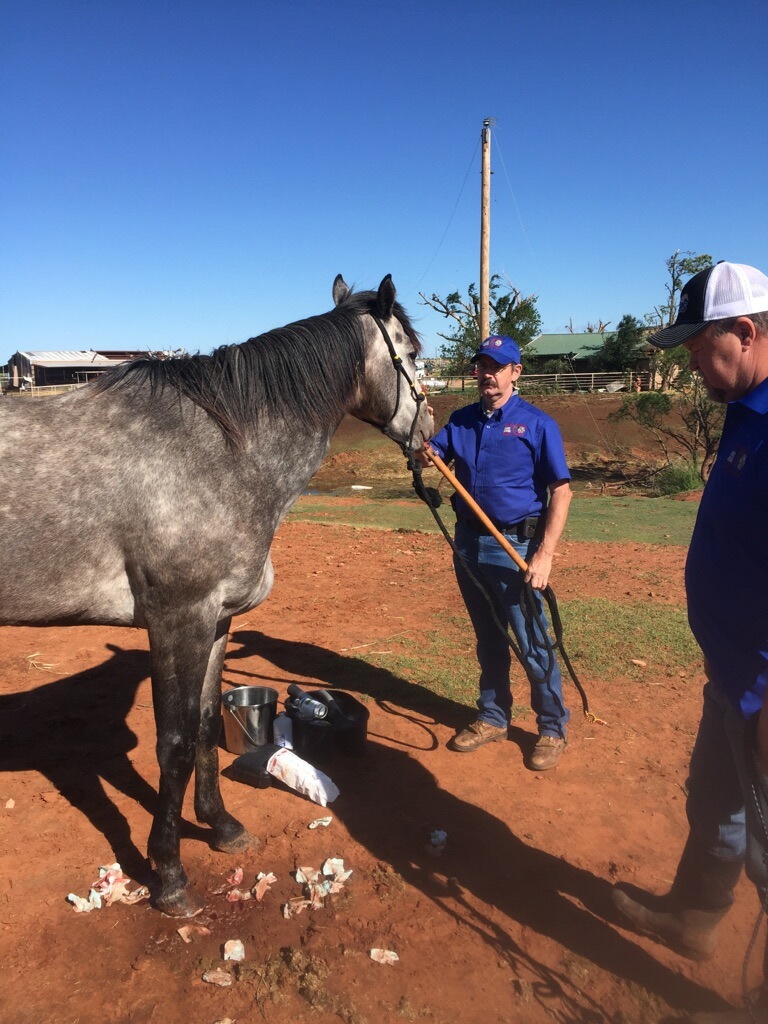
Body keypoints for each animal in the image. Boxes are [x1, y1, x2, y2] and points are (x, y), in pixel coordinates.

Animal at [1, 276, 434, 917]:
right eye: (409, 350)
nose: (429, 433)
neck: (219, 451)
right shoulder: (177, 621)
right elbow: (176, 744)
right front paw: (170, 874)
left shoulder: (217, 622)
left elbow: (206, 725)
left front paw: (222, 827)